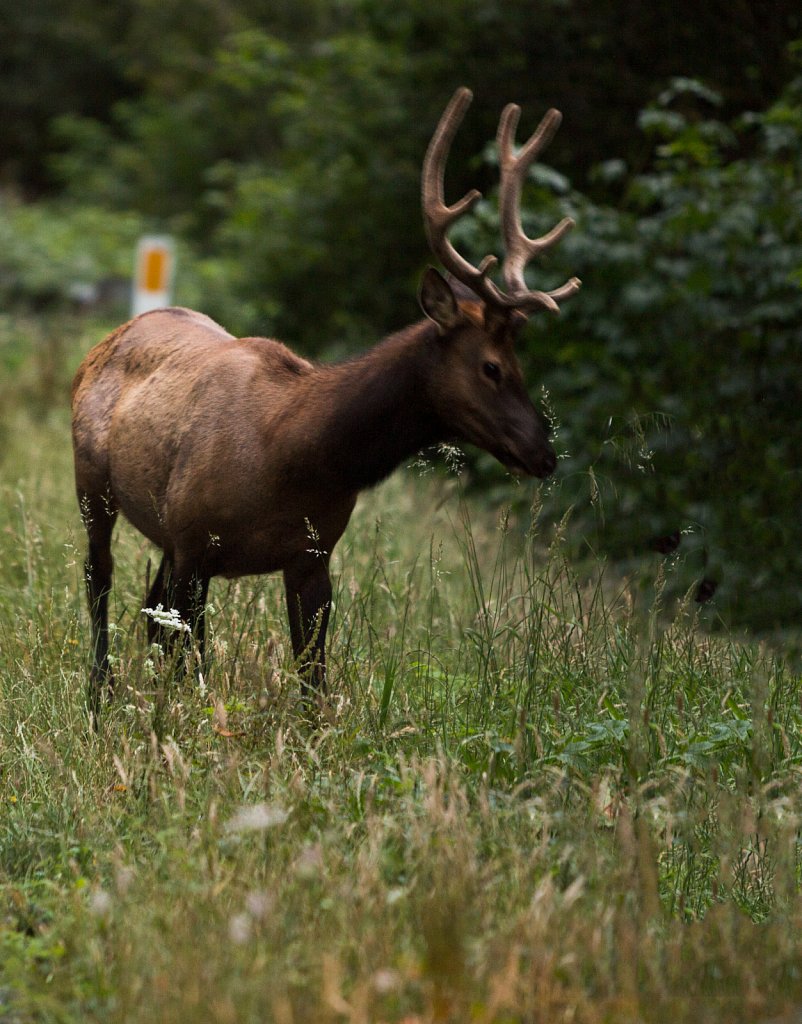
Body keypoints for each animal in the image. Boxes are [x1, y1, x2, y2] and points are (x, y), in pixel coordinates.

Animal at [72, 88, 581, 716]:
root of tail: (109, 337)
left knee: (149, 610)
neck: (291, 454)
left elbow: (312, 677)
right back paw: (99, 691)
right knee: (100, 579)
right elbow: (194, 661)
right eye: (491, 366)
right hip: (93, 481)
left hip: (163, 528)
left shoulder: (312, 555)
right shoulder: (195, 542)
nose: (543, 453)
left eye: (520, 365)